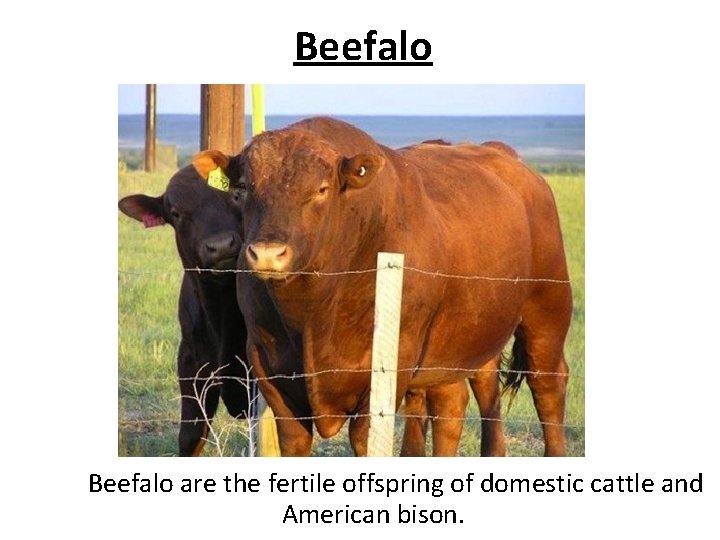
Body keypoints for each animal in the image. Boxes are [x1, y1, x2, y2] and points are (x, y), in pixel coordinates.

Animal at [234, 116, 573, 457]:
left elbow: (365, 437)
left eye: (321, 189)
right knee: (462, 397)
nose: (267, 253)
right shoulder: (265, 361)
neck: (312, 312)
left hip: (547, 311)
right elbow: (294, 439)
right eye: (244, 188)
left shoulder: (392, 364)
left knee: (547, 384)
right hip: (465, 336)